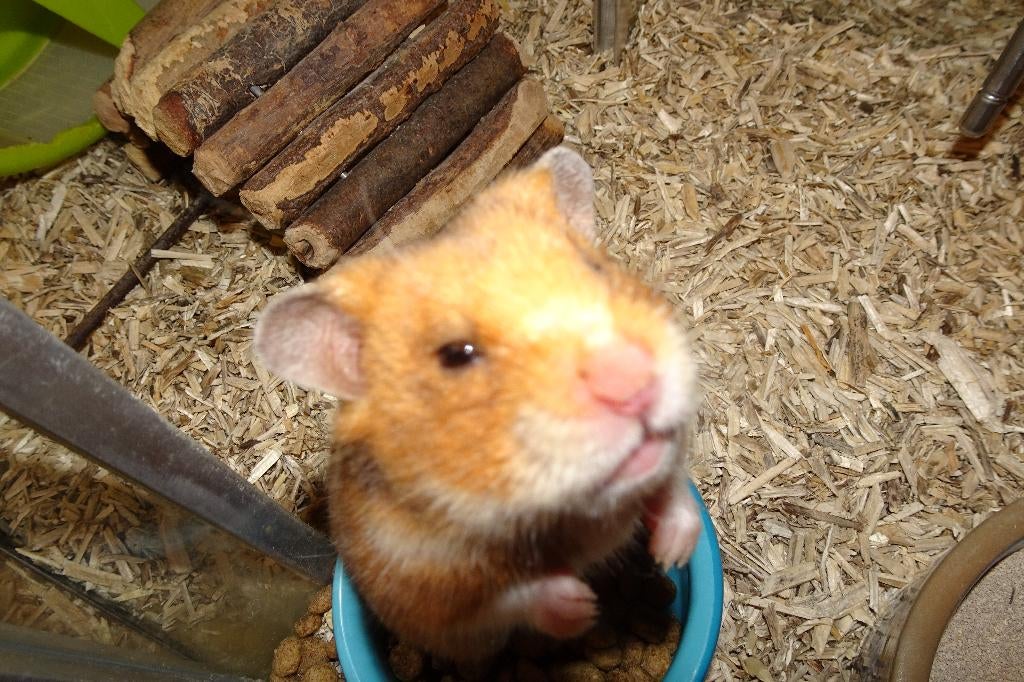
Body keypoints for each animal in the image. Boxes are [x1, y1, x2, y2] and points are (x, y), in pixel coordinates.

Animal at [254, 147, 702, 661]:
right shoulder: (430, 590)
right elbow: (513, 600)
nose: (632, 382)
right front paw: (583, 606)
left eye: (597, 270)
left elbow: (672, 482)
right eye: (456, 355)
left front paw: (672, 551)